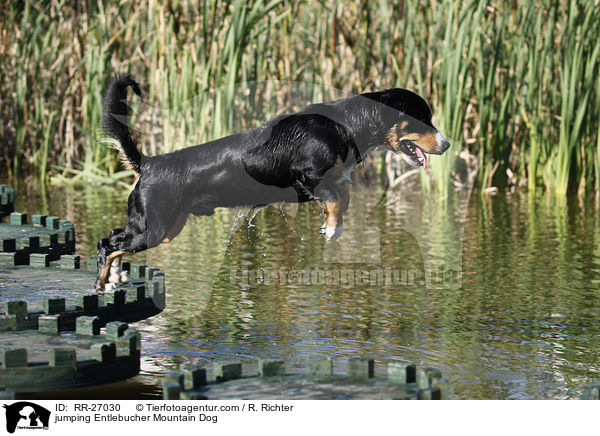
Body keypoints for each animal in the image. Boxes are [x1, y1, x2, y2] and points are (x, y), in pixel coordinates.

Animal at [96, 76, 448, 290]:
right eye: (422, 120)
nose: (446, 144)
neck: (345, 125)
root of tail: (150, 163)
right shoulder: (306, 174)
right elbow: (335, 197)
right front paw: (332, 228)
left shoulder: (331, 180)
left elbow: (342, 196)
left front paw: (330, 224)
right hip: (154, 229)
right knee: (106, 244)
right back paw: (102, 281)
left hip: (164, 228)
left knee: (114, 236)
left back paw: (112, 278)